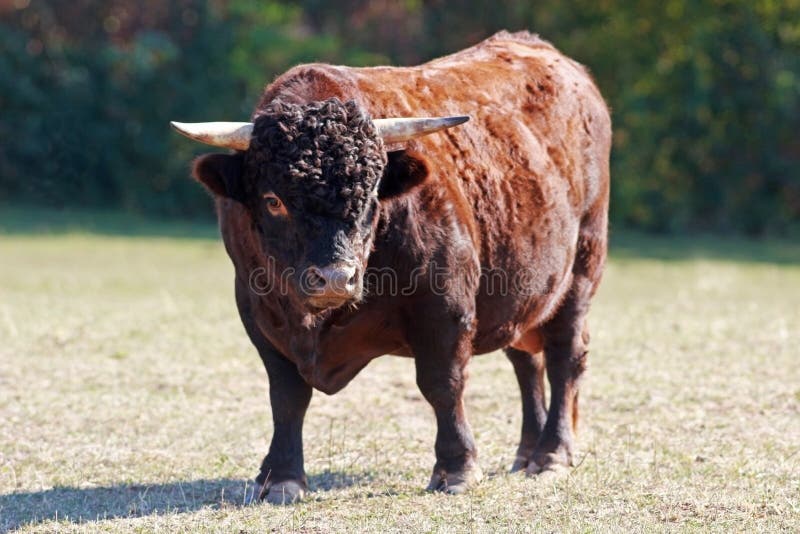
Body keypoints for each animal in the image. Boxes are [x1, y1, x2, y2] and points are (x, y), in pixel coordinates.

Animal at [172, 31, 612, 504]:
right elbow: (286, 395)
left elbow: (442, 384)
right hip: (521, 292)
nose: (335, 278)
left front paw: (456, 468)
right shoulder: (258, 311)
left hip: (581, 270)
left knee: (565, 356)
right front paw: (281, 477)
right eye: (273, 200)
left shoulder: (444, 308)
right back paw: (527, 452)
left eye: (371, 193)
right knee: (526, 362)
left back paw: (551, 454)